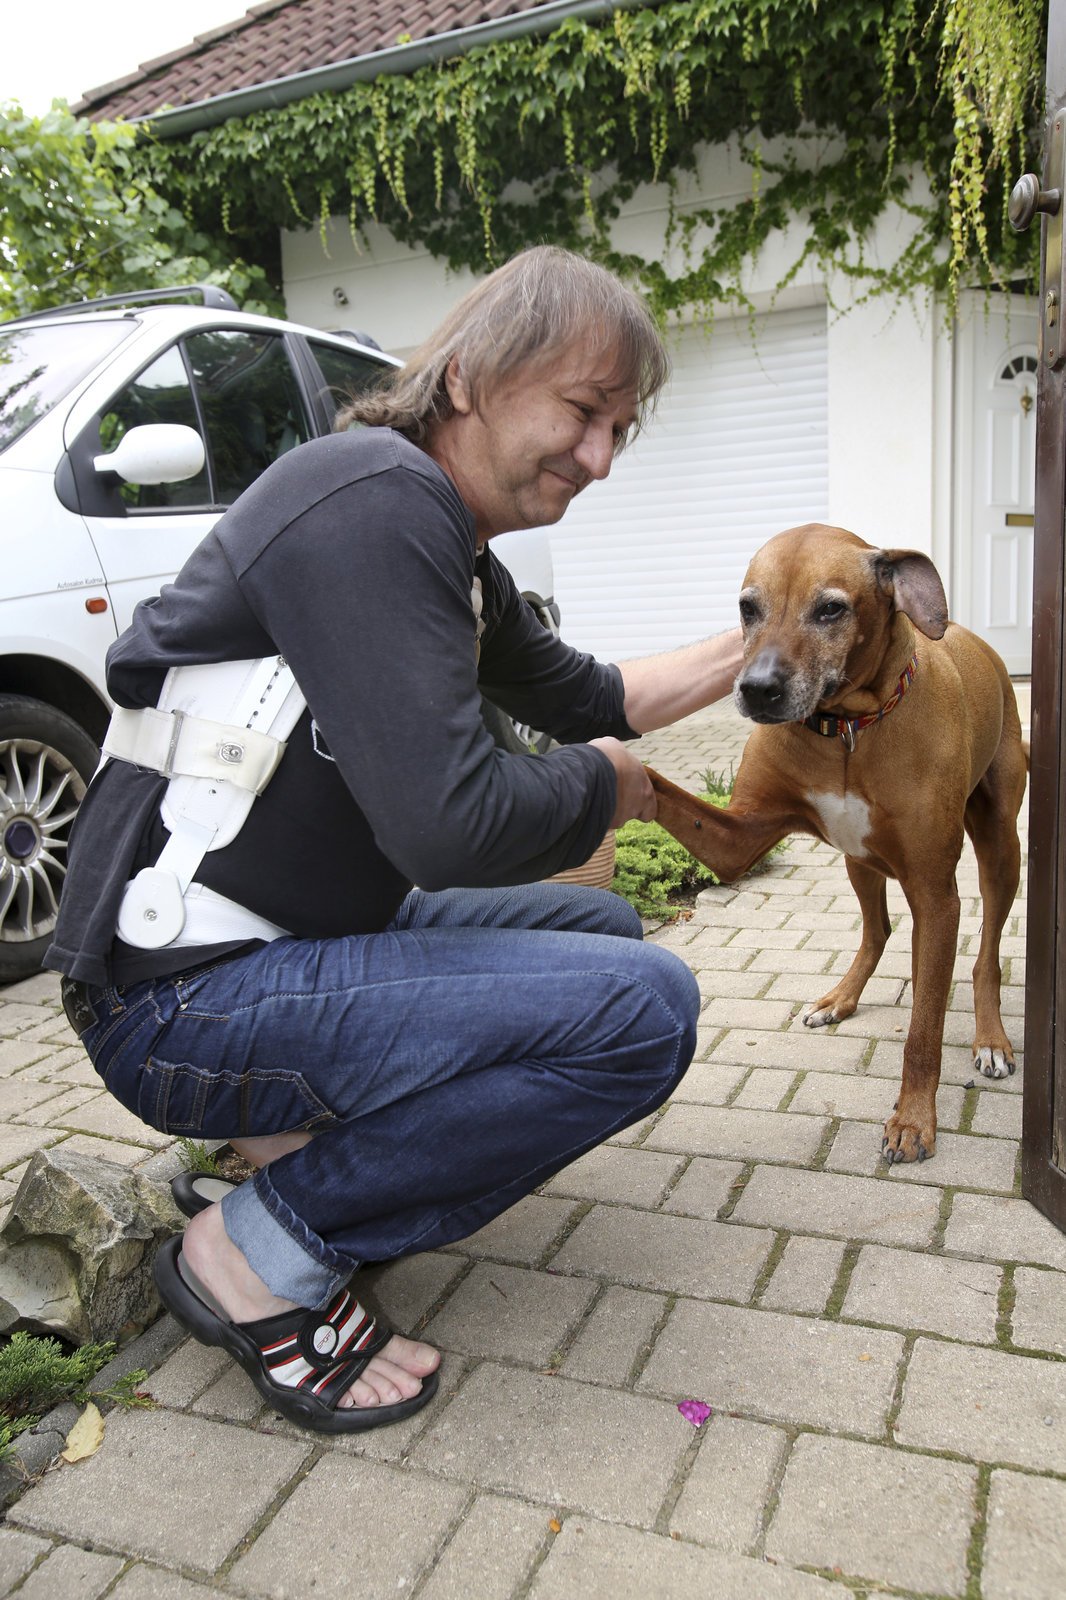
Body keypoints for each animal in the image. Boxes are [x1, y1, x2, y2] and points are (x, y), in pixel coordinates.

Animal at [643, 524, 1024, 1164]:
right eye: (748, 608)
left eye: (830, 609)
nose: (757, 689)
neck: (847, 728)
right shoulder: (735, 839)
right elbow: (651, 785)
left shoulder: (936, 894)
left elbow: (924, 1030)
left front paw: (913, 1120)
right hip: (858, 861)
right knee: (878, 930)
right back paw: (840, 998)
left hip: (1001, 846)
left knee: (986, 953)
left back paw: (990, 1037)